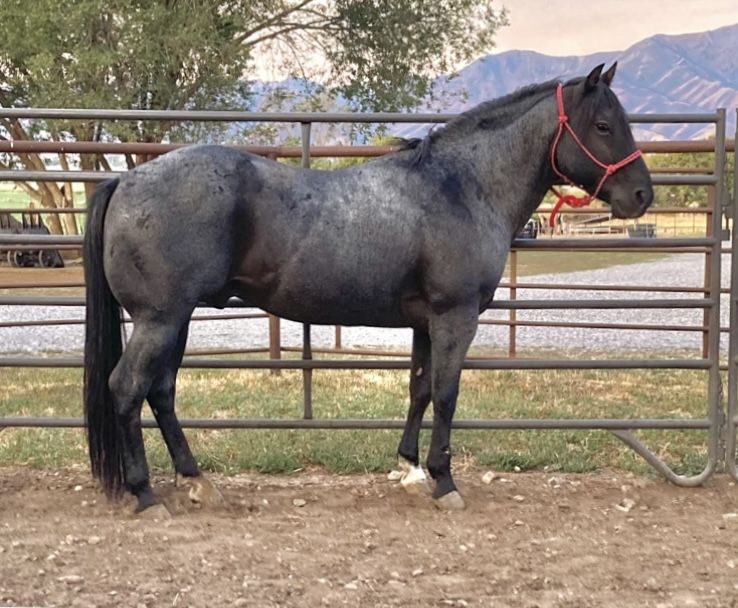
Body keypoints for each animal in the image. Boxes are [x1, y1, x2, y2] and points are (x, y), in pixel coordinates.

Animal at [83, 63, 653, 515]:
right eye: (603, 125)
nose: (642, 195)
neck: (460, 186)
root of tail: (126, 181)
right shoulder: (455, 316)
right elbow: (446, 394)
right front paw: (444, 481)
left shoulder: (426, 322)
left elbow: (419, 389)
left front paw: (409, 469)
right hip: (160, 319)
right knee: (128, 388)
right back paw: (145, 495)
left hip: (174, 319)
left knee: (161, 391)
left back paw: (197, 481)